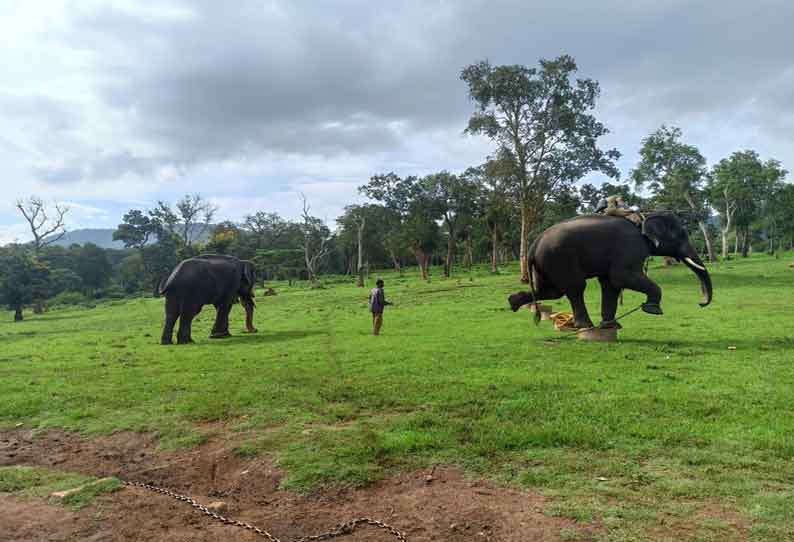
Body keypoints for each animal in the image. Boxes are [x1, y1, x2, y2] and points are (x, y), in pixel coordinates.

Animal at [508, 214, 712, 332]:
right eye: (681, 236)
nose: (701, 303)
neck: (643, 219)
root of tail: (534, 245)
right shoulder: (630, 247)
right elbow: (621, 277)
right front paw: (652, 309)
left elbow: (610, 284)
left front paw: (611, 326)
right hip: (559, 257)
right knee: (575, 287)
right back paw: (586, 326)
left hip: (547, 262)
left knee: (552, 291)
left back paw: (513, 302)